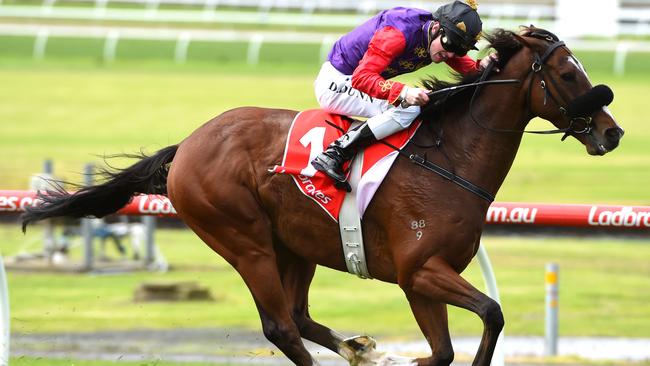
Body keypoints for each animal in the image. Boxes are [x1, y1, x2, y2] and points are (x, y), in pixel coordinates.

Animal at [21, 27, 624, 364]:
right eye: (568, 74)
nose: (613, 132)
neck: (449, 159)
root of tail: (187, 145)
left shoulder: (424, 279)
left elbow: (447, 348)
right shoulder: (419, 271)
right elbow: (488, 318)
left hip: (297, 244)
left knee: (299, 316)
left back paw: (362, 351)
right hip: (245, 241)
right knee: (281, 327)